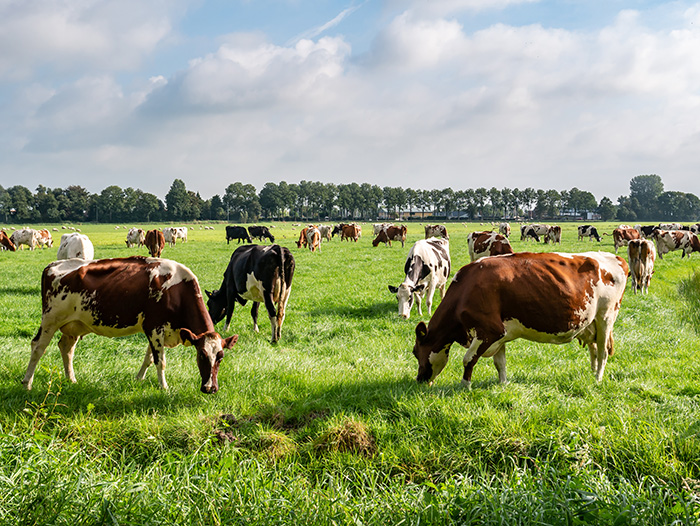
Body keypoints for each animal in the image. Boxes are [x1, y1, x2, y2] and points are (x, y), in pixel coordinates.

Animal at [22, 257, 238, 393]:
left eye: (220, 357)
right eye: (201, 355)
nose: (210, 388)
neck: (177, 290)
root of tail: (54, 264)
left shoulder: (155, 330)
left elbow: (149, 358)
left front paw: (139, 379)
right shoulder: (154, 327)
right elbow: (160, 361)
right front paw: (164, 387)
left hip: (73, 325)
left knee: (66, 348)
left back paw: (71, 380)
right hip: (50, 319)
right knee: (38, 347)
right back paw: (27, 383)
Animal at [412, 251, 628, 389]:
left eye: (415, 352)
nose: (419, 380)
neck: (466, 290)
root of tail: (616, 258)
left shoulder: (490, 331)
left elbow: (468, 359)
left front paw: (465, 386)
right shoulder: (499, 335)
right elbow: (500, 363)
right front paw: (503, 384)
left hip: (606, 316)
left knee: (602, 351)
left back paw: (597, 379)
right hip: (589, 322)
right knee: (594, 350)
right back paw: (592, 373)